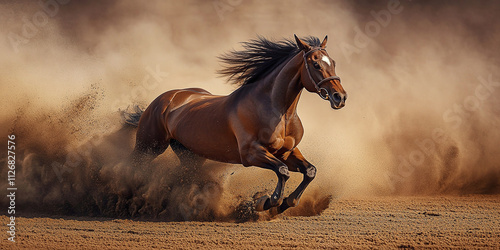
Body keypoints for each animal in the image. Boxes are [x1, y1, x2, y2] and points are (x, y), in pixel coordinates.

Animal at [126, 35, 348, 214]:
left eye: (333, 62)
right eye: (316, 64)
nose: (340, 97)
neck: (277, 111)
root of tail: (165, 99)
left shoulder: (287, 152)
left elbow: (309, 171)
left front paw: (286, 203)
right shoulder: (250, 154)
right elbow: (282, 171)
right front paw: (265, 202)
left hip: (190, 155)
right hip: (149, 146)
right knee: (133, 166)